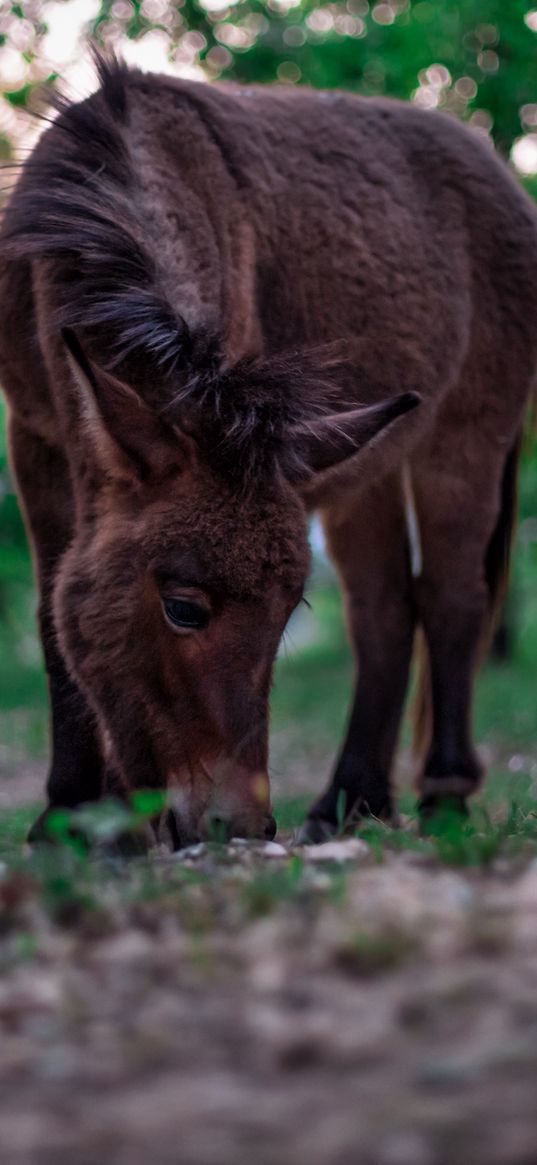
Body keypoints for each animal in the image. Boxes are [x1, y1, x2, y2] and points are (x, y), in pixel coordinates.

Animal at [1, 54, 535, 848]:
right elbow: (50, 612)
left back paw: (442, 798)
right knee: (384, 608)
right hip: (363, 465)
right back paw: (349, 801)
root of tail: (494, 162)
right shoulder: (36, 437)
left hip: (465, 435)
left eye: (288, 612)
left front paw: (100, 822)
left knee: (452, 599)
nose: (243, 827)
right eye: (184, 609)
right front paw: (72, 817)